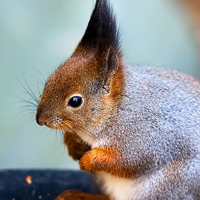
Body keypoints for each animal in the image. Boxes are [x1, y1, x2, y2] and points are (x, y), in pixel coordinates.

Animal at [35, 0, 200, 200]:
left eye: (75, 101)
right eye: (48, 82)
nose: (40, 119)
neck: (118, 110)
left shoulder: (145, 139)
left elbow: (127, 161)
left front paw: (89, 160)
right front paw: (74, 145)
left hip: (166, 188)